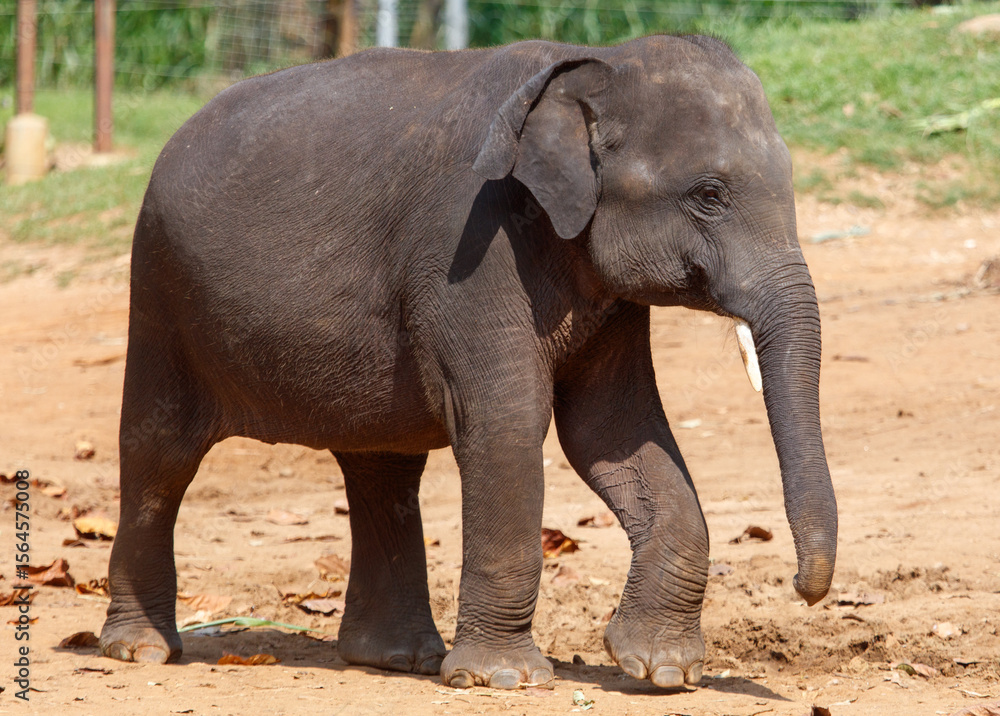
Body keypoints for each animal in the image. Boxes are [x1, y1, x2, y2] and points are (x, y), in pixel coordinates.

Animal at [99, 34, 837, 690]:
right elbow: (507, 421)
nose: (802, 590)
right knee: (159, 457)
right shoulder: (470, 245)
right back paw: (140, 650)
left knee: (383, 469)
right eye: (709, 194)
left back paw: (396, 659)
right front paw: (503, 679)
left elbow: (614, 430)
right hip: (160, 292)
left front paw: (663, 671)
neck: (591, 63)